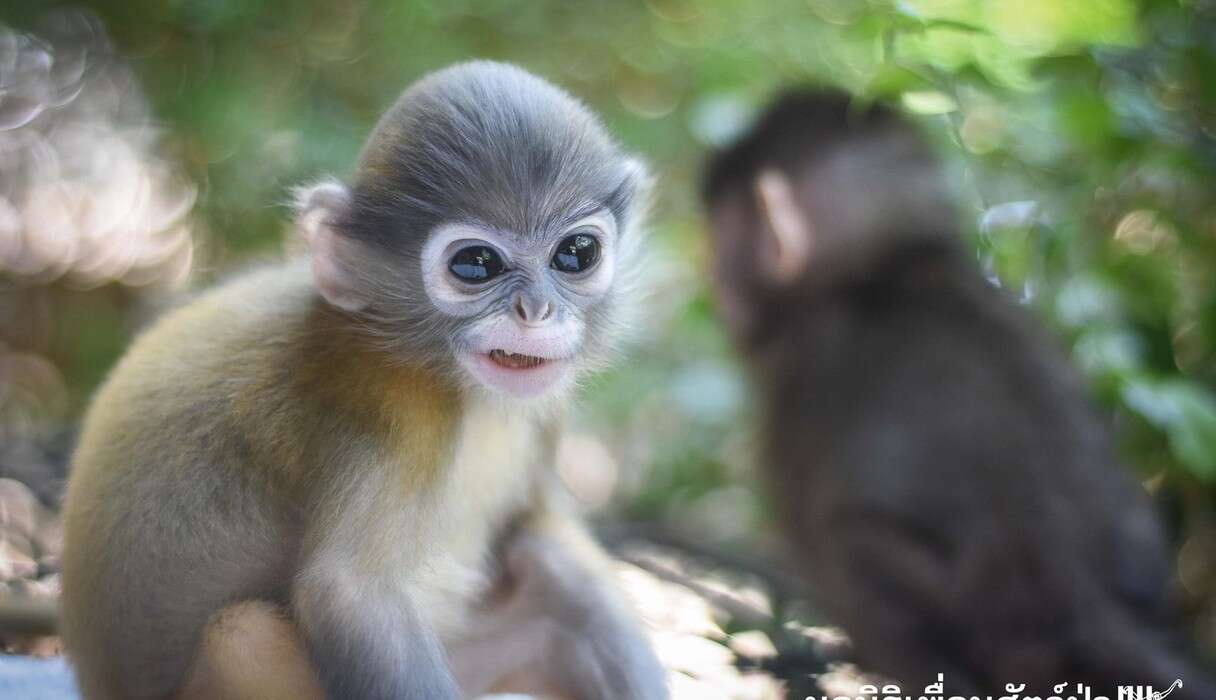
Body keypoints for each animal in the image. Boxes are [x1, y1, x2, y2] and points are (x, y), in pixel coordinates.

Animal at [700, 91, 1211, 695]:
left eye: (724, 238)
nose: (719, 283)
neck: (893, 268)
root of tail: (1089, 612)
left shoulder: (804, 380)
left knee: (846, 547)